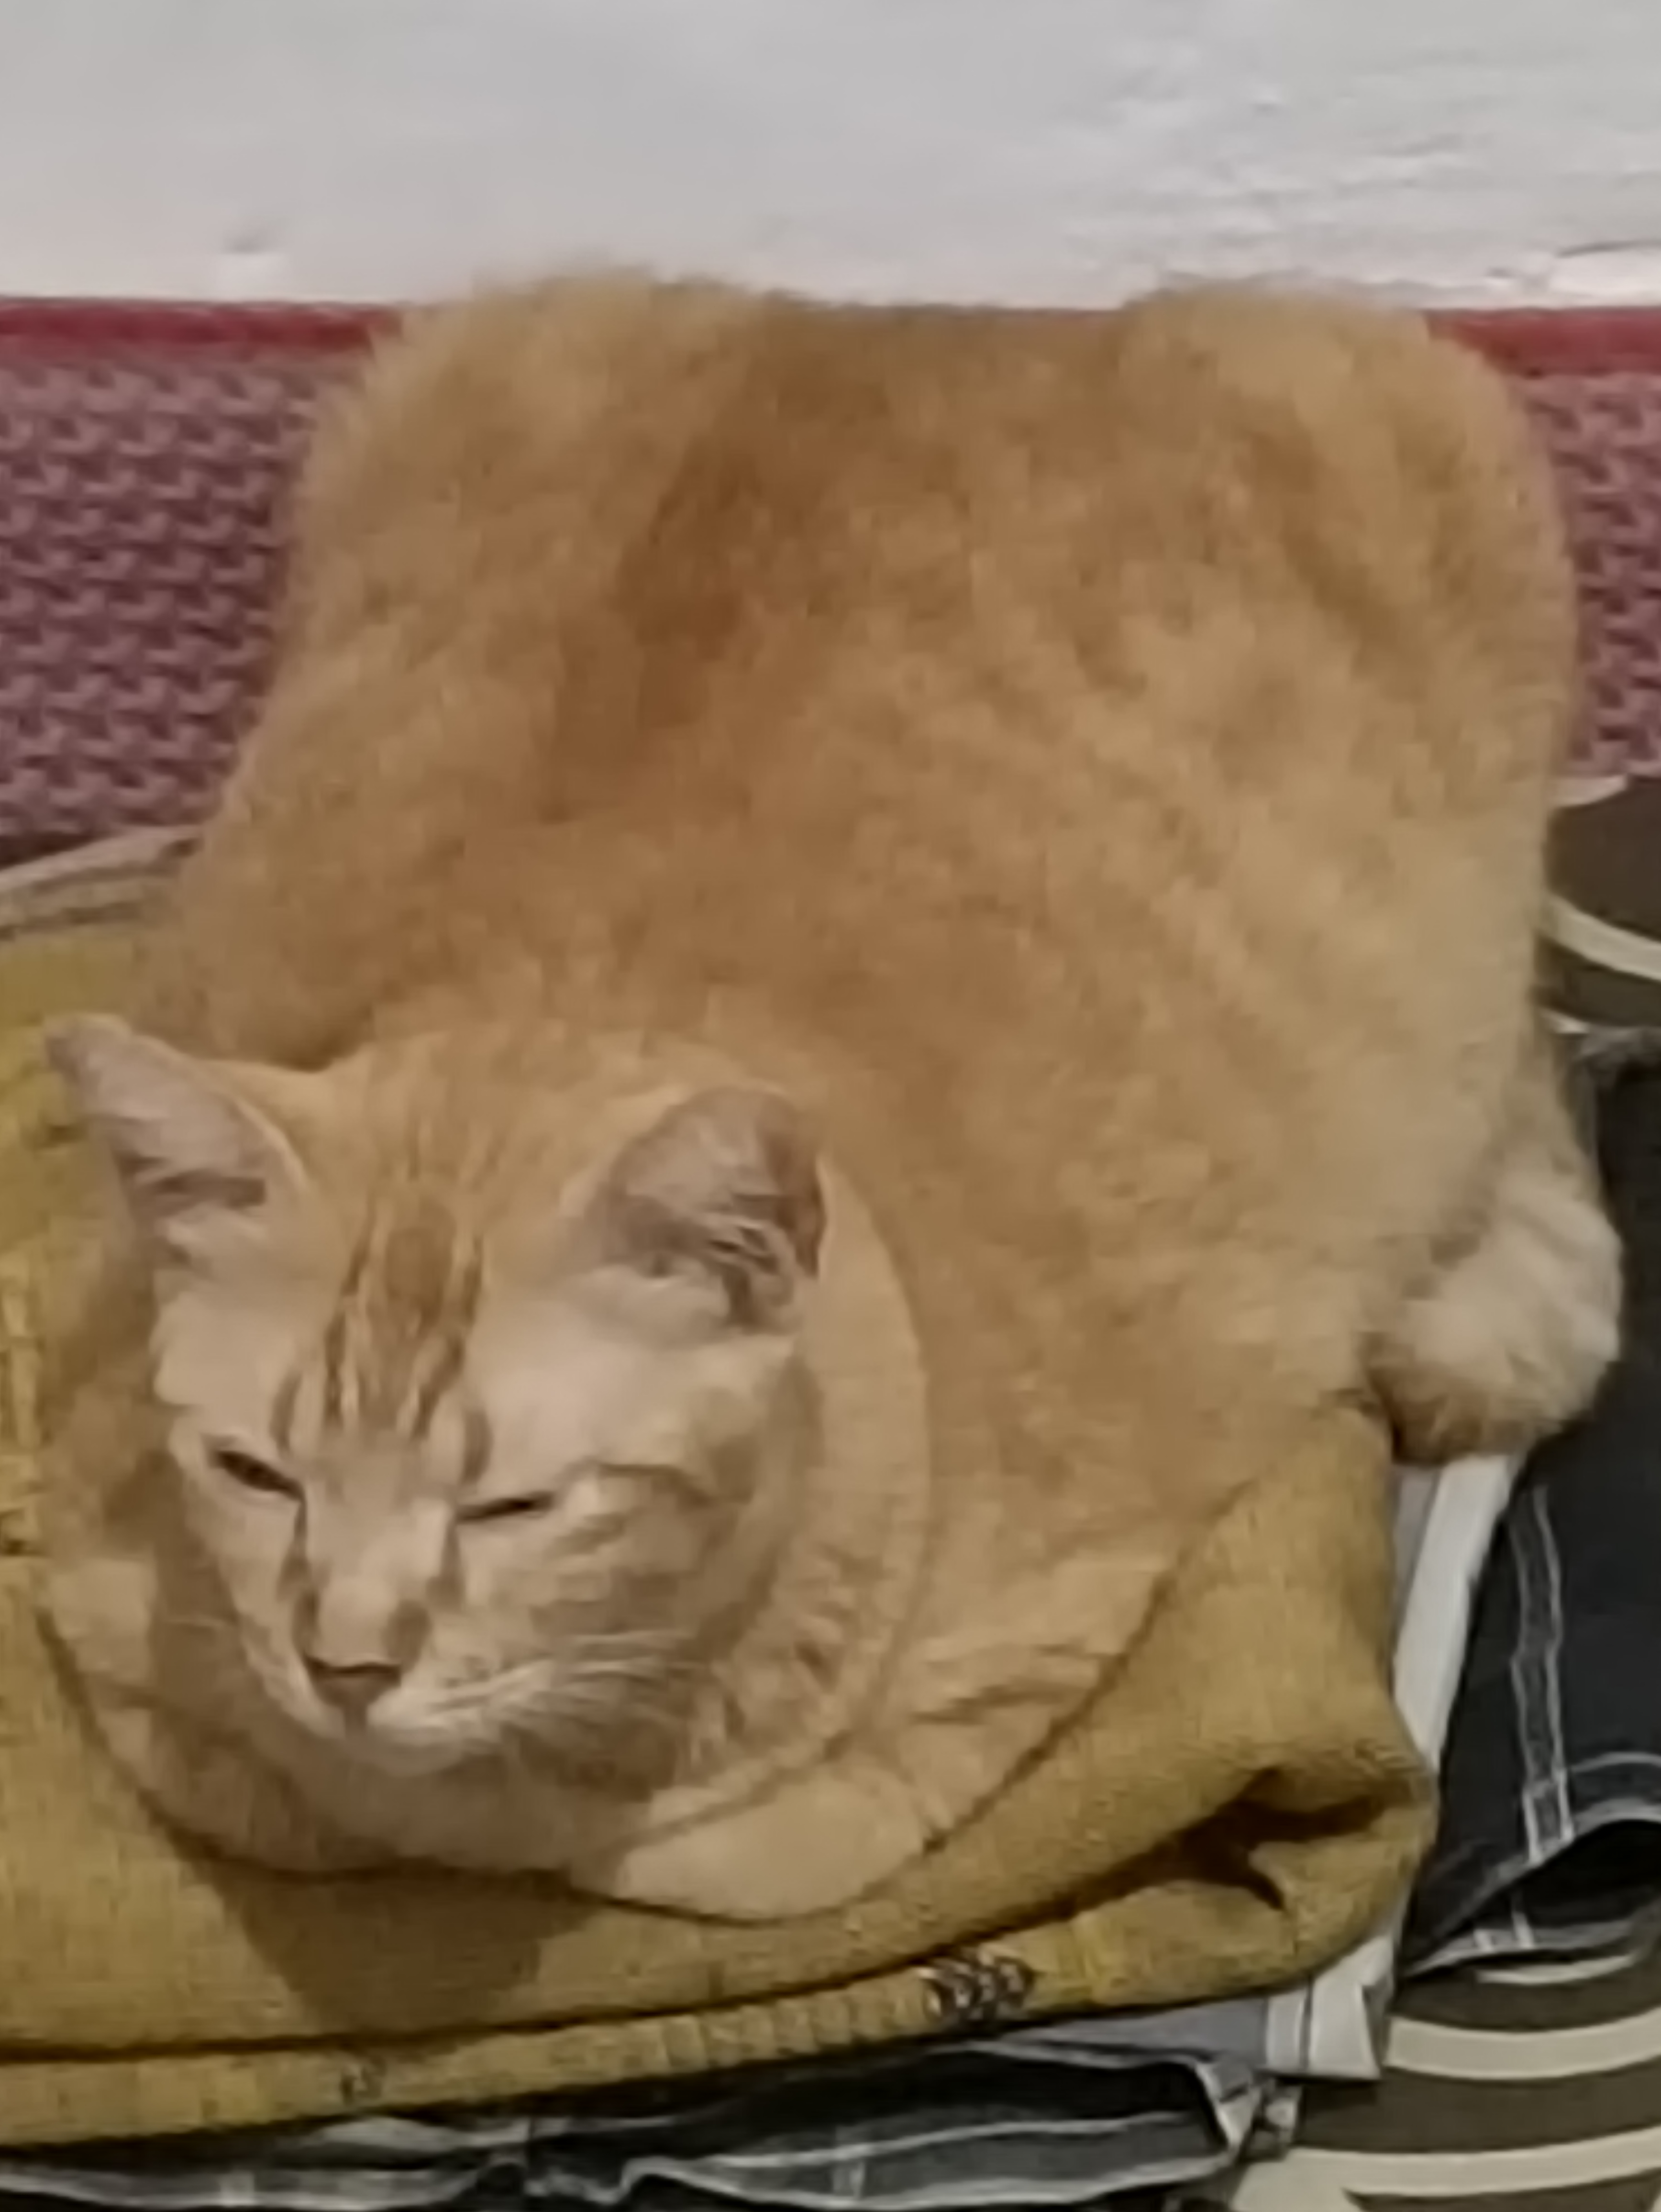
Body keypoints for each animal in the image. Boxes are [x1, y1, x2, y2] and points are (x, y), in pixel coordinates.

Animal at [41, 277, 1619, 1919]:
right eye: (253, 1474)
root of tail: (953, 312)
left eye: (512, 1508)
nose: (346, 1663)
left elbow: (688, 1845)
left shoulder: (905, 1750)